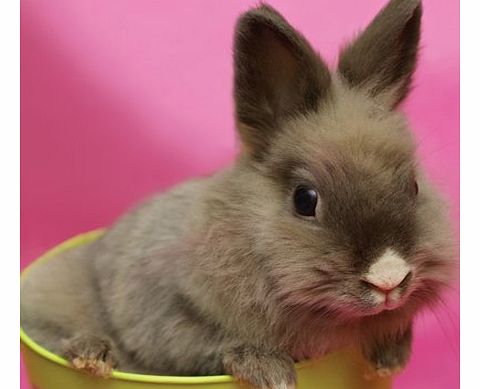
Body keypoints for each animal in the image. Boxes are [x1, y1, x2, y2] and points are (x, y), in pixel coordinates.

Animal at [20, 1, 454, 386]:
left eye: (414, 186)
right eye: (305, 200)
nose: (389, 278)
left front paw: (390, 357)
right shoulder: (166, 312)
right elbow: (205, 342)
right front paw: (270, 371)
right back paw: (92, 353)